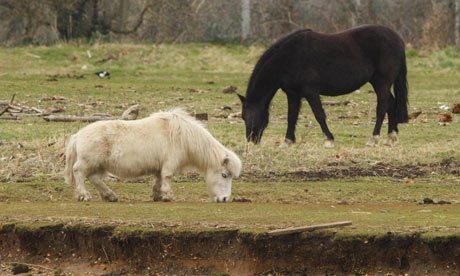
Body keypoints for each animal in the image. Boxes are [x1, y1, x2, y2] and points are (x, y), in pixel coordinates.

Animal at [67, 108, 244, 203]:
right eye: (224, 174)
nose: (224, 199)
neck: (183, 136)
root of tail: (78, 135)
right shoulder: (169, 163)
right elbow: (167, 177)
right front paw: (169, 196)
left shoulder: (161, 165)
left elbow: (158, 179)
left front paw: (157, 195)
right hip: (88, 162)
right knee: (79, 173)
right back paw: (84, 195)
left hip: (100, 165)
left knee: (94, 178)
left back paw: (110, 196)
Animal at [239, 24, 408, 148]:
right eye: (243, 117)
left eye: (249, 116)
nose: (251, 140)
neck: (289, 57)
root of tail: (398, 39)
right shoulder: (293, 94)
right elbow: (291, 117)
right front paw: (287, 141)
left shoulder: (311, 92)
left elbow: (319, 115)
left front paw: (329, 140)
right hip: (378, 83)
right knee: (391, 105)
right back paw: (391, 138)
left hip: (382, 83)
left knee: (382, 108)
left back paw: (374, 139)